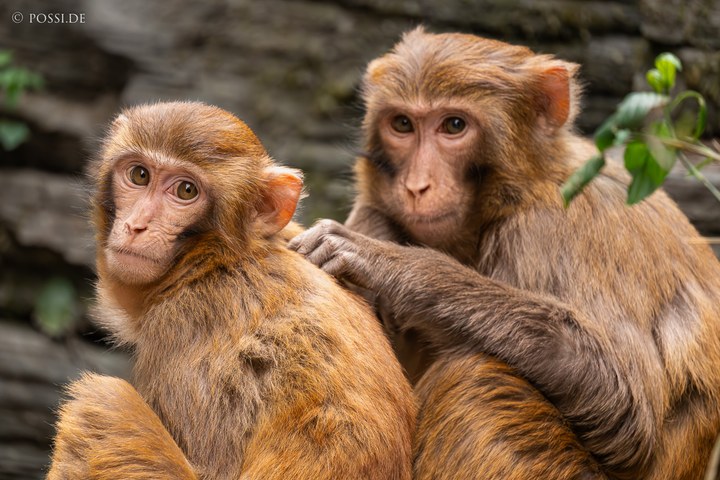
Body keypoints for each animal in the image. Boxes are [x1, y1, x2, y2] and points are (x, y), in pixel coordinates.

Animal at [47, 101, 415, 480]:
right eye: (139, 175)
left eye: (186, 191)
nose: (137, 226)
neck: (219, 261)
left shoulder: (187, 326)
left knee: (102, 401)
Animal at [288, 27, 720, 480]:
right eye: (402, 124)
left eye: (454, 125)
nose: (416, 186)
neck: (528, 185)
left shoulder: (552, 227)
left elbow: (631, 409)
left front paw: (398, 267)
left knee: (480, 379)